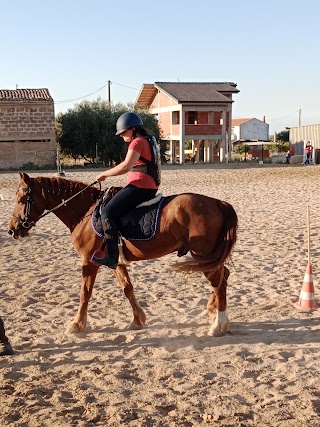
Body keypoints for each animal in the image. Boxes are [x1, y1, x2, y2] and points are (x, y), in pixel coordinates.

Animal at [7, 173, 238, 338]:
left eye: (21, 200)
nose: (12, 230)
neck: (85, 212)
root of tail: (217, 202)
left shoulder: (89, 262)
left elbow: (85, 293)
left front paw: (77, 324)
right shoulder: (115, 261)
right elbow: (127, 288)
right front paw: (138, 320)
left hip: (203, 255)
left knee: (218, 282)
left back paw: (218, 324)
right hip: (208, 257)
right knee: (223, 276)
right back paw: (213, 311)